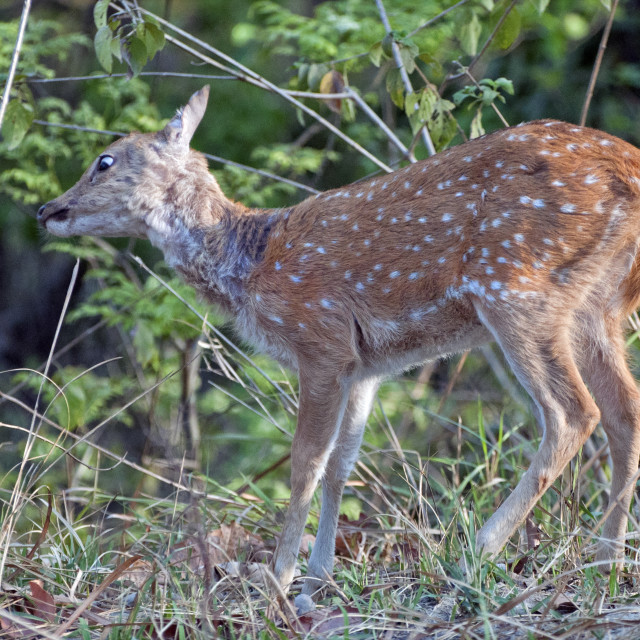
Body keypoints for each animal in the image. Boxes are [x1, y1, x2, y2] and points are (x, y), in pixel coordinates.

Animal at [38, 86, 640, 608]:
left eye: (105, 160)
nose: (47, 209)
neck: (253, 264)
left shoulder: (320, 340)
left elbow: (305, 461)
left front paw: (277, 579)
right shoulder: (365, 367)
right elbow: (341, 466)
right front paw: (317, 576)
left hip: (518, 287)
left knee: (572, 413)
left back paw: (476, 552)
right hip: (597, 307)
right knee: (623, 410)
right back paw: (605, 563)